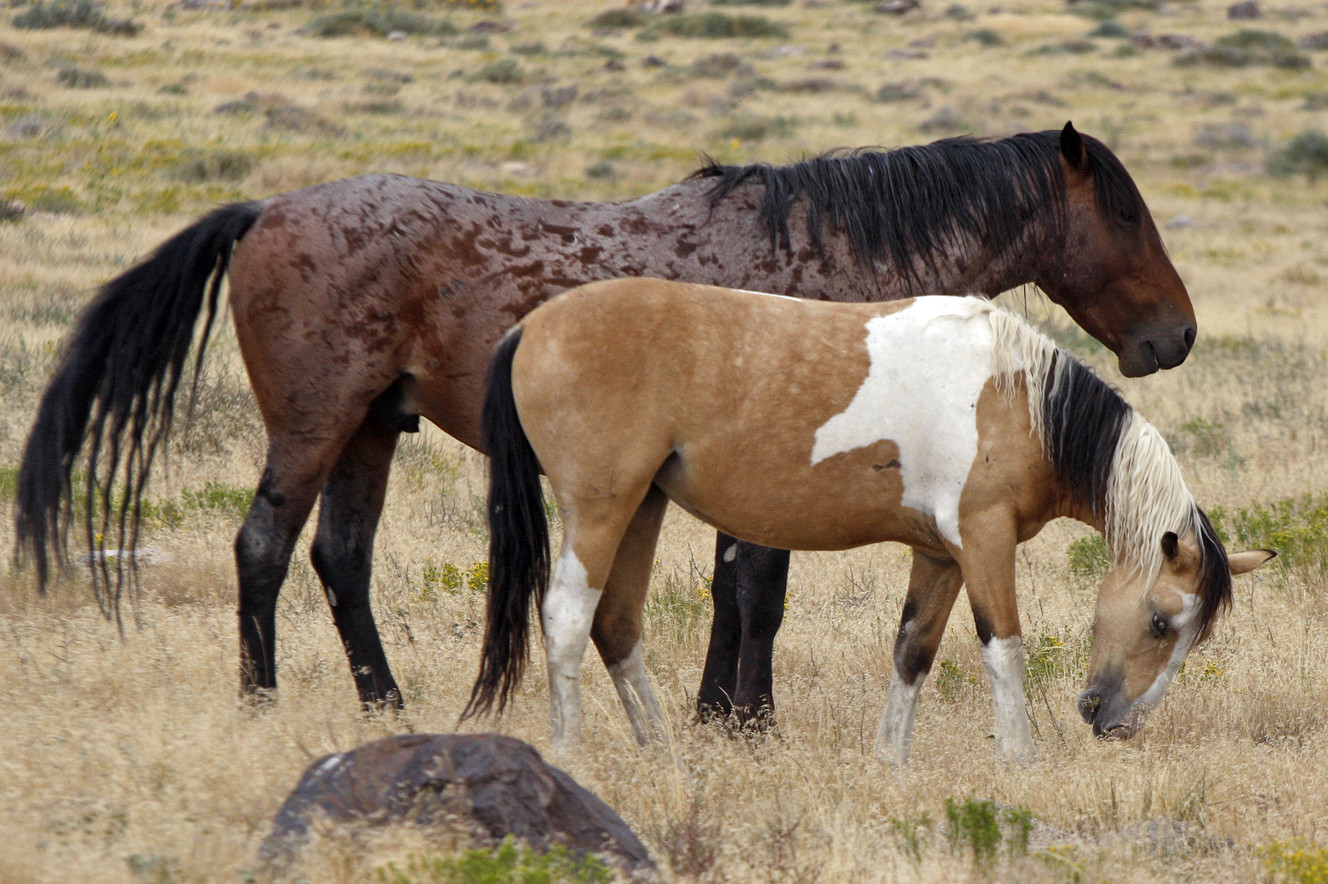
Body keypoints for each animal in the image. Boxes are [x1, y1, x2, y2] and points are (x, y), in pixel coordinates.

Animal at [15, 123, 1197, 715]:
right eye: (1126, 212)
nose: (1175, 335)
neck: (821, 257)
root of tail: (265, 212)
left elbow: (736, 593)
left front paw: (717, 712)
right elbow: (758, 596)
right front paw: (744, 718)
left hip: (368, 434)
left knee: (338, 560)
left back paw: (386, 706)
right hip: (315, 427)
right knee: (262, 546)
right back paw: (262, 702)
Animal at [463, 279, 1273, 762]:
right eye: (1163, 622)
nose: (1115, 720)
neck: (1017, 395)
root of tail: (530, 328)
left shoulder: (941, 555)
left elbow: (912, 650)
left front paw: (891, 761)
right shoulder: (984, 541)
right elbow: (1003, 650)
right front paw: (1021, 761)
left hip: (642, 508)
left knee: (617, 625)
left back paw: (663, 755)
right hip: (600, 511)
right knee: (569, 618)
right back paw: (567, 752)